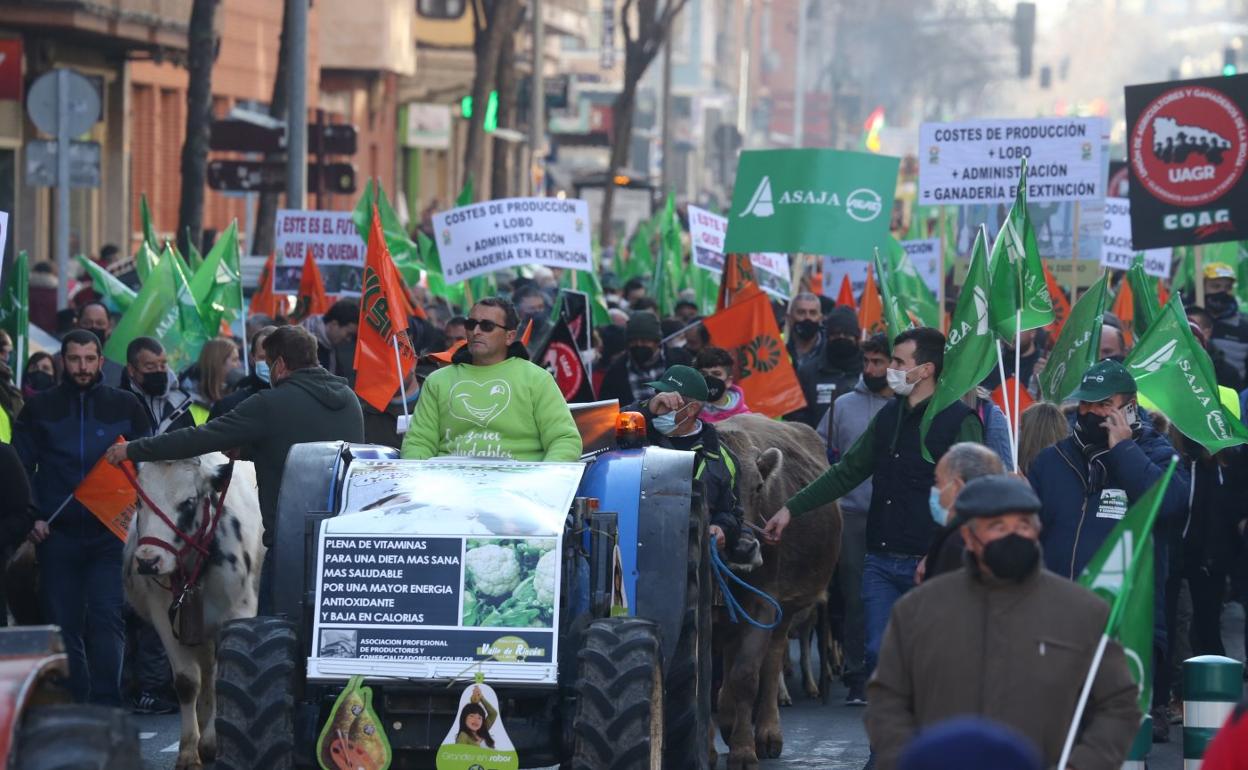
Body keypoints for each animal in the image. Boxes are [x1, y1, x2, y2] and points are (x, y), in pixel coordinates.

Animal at [124, 454, 265, 768]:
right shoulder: (165, 617)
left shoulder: (238, 611)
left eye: (188, 502)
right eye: (139, 500)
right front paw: (190, 750)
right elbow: (188, 681)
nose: (148, 561)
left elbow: (222, 678)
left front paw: (212, 742)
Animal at [713, 414, 838, 768]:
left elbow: (747, 675)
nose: (743, 549)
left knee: (771, 662)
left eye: (758, 486)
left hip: (786, 612)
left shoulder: (763, 603)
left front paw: (743, 750)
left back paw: (768, 734)